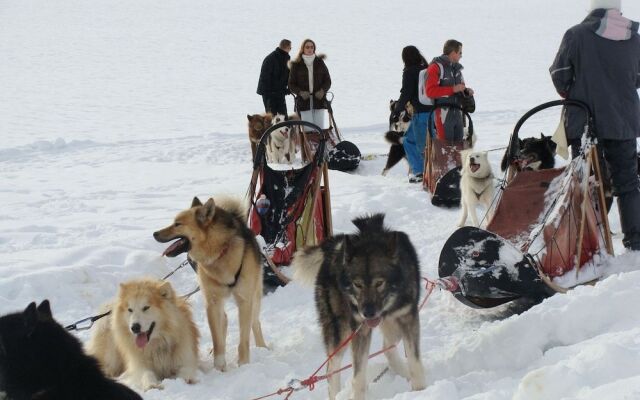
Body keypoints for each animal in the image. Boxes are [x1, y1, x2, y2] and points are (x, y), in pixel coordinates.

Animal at [153, 197, 268, 372]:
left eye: (177, 224)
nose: (155, 233)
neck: (219, 252)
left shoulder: (244, 301)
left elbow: (244, 339)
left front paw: (243, 364)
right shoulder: (212, 303)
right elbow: (217, 338)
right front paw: (219, 365)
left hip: (255, 297)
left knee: (255, 322)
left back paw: (263, 347)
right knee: (224, 321)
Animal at [294, 214, 424, 398]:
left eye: (379, 283)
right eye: (357, 284)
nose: (368, 313)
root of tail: (336, 245)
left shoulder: (407, 318)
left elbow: (415, 362)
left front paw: (421, 390)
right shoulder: (360, 330)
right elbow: (358, 377)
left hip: (394, 328)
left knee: (387, 347)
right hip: (340, 330)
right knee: (331, 369)